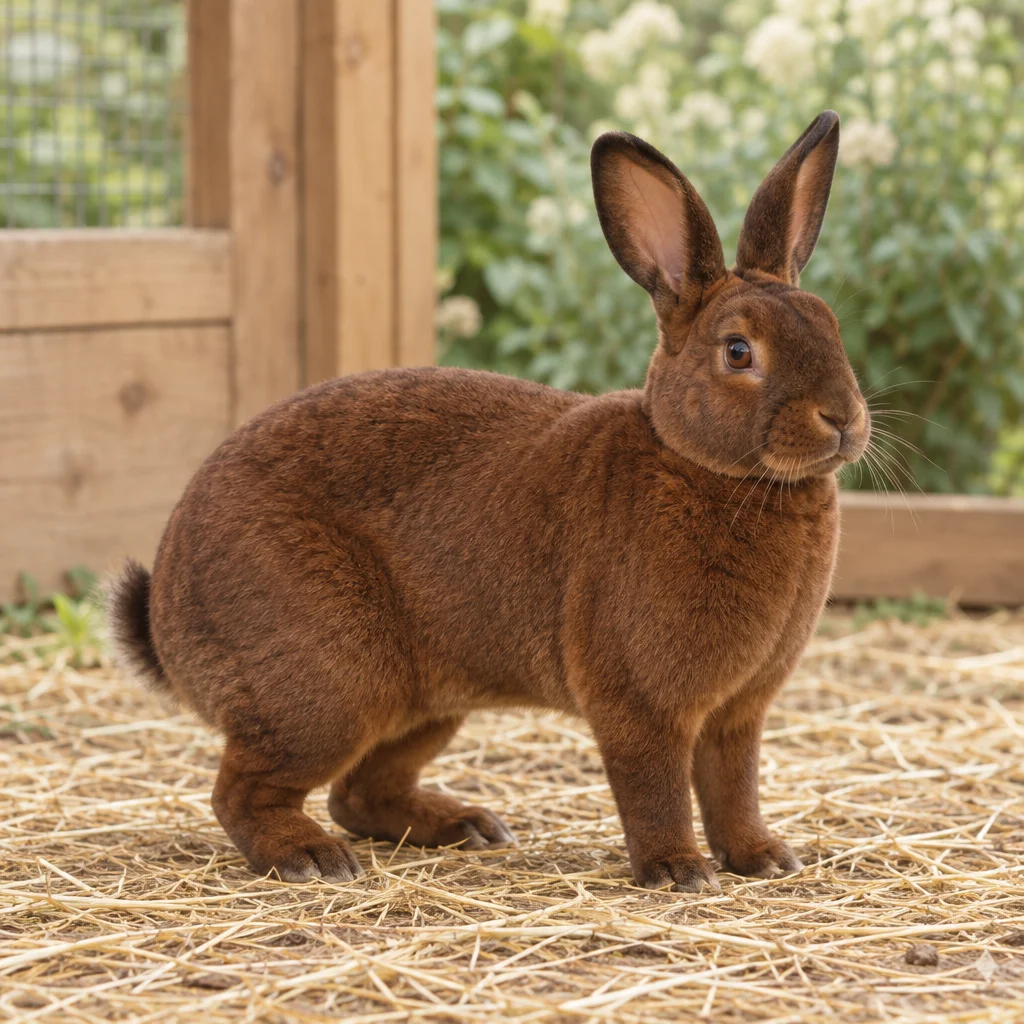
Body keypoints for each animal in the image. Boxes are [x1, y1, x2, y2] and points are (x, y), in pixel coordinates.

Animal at [108, 110, 869, 892]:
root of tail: (167, 609)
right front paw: (677, 871)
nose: (842, 419)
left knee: (358, 791)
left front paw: (763, 858)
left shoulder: (737, 716)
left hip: (421, 705)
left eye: (831, 326)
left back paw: (466, 826)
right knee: (243, 790)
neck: (705, 465)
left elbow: (734, 787)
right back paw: (312, 857)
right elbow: (653, 786)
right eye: (738, 352)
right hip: (325, 685)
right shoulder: (640, 706)